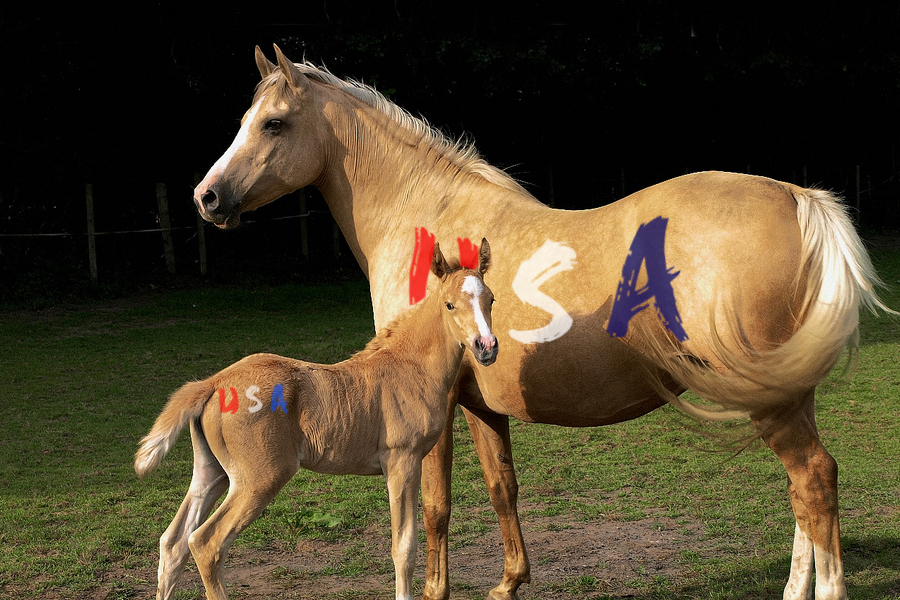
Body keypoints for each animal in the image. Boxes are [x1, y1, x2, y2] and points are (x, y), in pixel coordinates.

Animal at [135, 240, 497, 600]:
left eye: (491, 299)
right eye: (449, 304)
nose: (486, 347)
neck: (411, 367)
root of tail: (213, 382)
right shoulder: (402, 461)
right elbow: (404, 548)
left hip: (212, 472)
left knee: (173, 543)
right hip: (260, 477)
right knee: (206, 543)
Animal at [190, 44, 895, 600]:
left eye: (274, 123)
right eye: (246, 120)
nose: (207, 197)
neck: (427, 216)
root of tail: (796, 197)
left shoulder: (434, 410)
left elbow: (435, 509)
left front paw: (438, 589)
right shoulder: (481, 404)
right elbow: (503, 488)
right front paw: (509, 582)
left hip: (772, 402)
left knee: (814, 481)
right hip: (784, 394)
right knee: (805, 495)